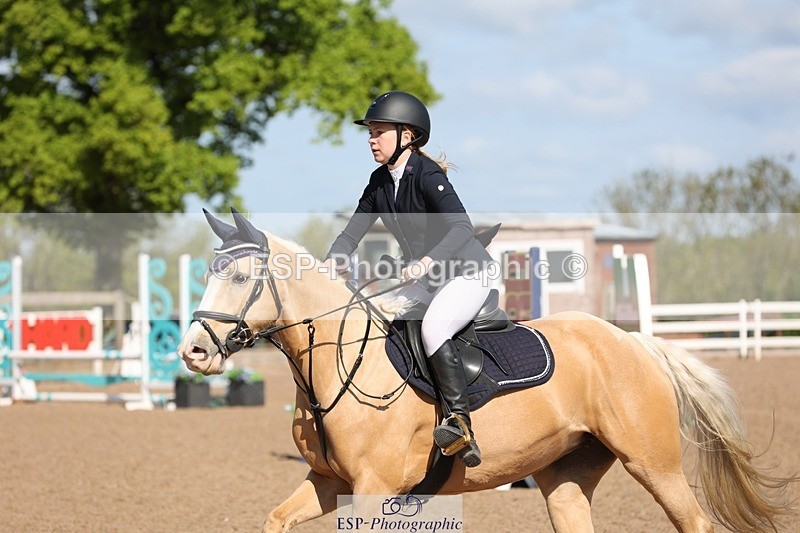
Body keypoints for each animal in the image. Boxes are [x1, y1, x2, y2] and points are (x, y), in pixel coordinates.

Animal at [178, 210, 797, 533]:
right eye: (209, 273)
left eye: (240, 279)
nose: (193, 353)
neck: (337, 366)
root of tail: (633, 341)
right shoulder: (329, 483)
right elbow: (275, 519)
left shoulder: (374, 488)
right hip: (566, 479)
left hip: (655, 464)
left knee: (694, 520)